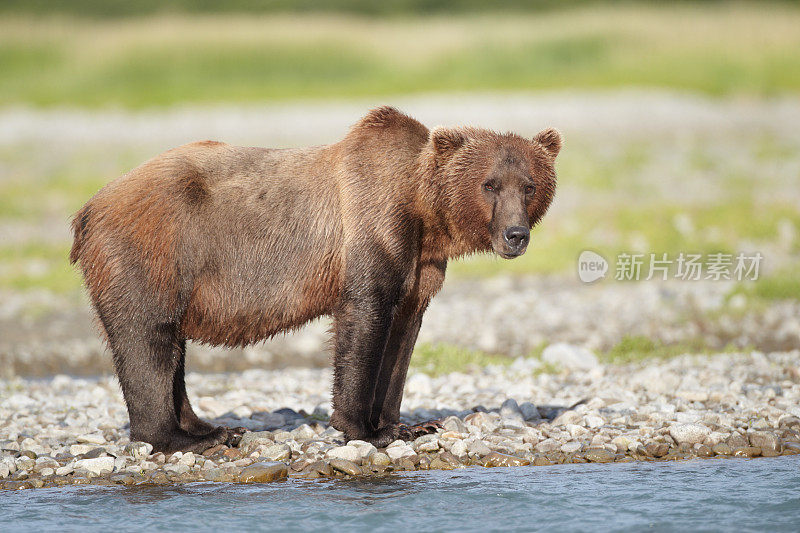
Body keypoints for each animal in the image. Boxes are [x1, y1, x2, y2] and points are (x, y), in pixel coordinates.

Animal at [69, 106, 564, 450]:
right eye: (490, 184)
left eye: (530, 185)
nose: (516, 234)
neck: (425, 214)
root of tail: (88, 208)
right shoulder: (371, 229)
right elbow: (364, 321)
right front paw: (366, 429)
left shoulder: (420, 267)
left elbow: (402, 335)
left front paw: (405, 424)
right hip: (152, 250)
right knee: (148, 336)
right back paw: (184, 437)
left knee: (170, 346)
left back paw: (210, 427)